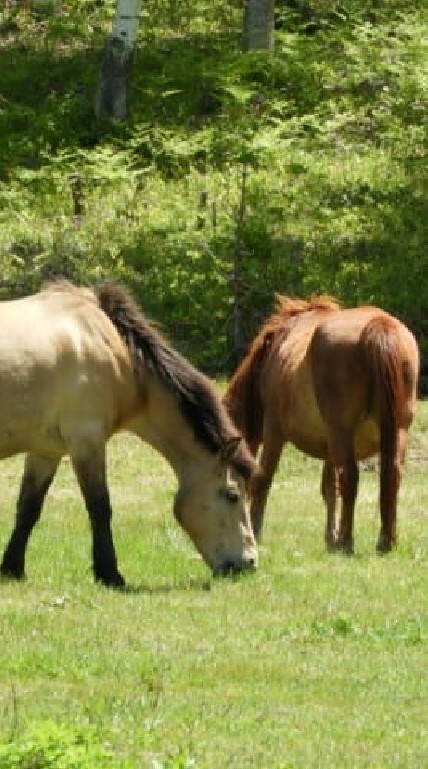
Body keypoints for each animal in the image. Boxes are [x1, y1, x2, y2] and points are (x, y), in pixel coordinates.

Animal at [0, 280, 258, 584]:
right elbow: (99, 507)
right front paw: (110, 574)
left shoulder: (45, 451)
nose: (249, 563)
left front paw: (13, 568)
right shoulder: (87, 441)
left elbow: (28, 508)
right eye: (232, 495)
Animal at [226, 294, 420, 552]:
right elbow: (329, 488)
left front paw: (256, 533)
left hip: (341, 431)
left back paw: (346, 542)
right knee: (390, 474)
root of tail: (378, 325)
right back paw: (384, 541)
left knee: (350, 477)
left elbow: (263, 478)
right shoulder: (329, 447)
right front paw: (330, 537)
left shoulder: (274, 430)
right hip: (396, 430)